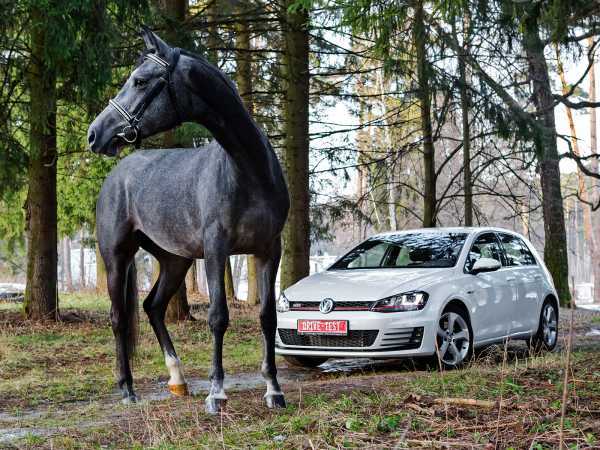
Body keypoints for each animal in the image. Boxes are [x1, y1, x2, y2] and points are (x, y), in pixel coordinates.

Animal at [86, 29, 290, 414]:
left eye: (140, 80)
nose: (95, 134)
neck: (249, 170)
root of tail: (117, 173)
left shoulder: (269, 250)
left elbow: (268, 317)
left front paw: (273, 389)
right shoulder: (216, 249)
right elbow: (218, 316)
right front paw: (217, 393)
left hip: (174, 260)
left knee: (152, 307)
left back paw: (178, 380)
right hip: (116, 256)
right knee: (119, 318)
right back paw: (127, 389)